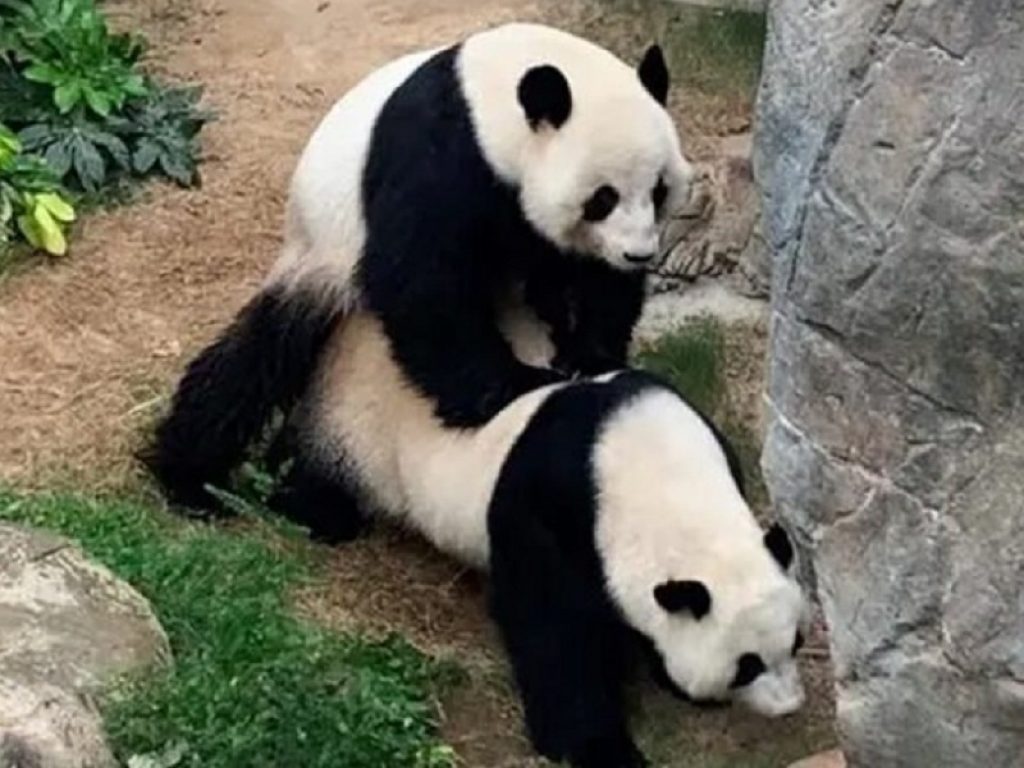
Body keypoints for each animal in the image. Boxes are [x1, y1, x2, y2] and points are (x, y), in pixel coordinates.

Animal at [144, 22, 697, 509]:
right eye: (602, 198)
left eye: (658, 190)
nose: (639, 254)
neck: (490, 101)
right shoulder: (438, 154)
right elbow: (421, 282)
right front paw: (511, 386)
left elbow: (589, 278)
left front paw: (591, 355)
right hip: (320, 255)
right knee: (256, 360)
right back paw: (191, 478)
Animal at [272, 310, 809, 768]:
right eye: (747, 666)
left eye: (797, 642)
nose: (790, 706)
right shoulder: (550, 506)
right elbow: (551, 626)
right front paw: (599, 747)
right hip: (356, 429)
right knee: (317, 471)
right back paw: (313, 511)